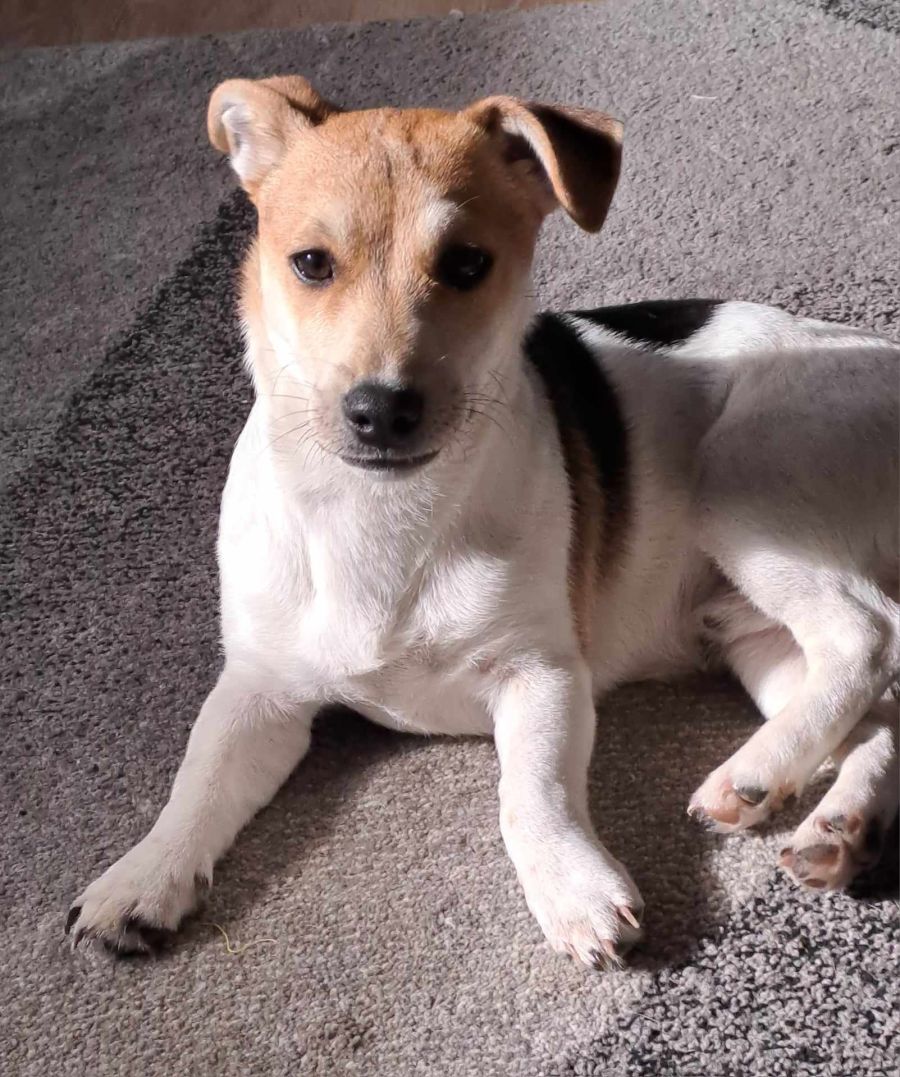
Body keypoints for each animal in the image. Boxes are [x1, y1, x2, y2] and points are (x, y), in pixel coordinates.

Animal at [66, 76, 899, 968]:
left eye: (466, 264)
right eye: (311, 263)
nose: (380, 409)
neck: (382, 515)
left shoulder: (542, 673)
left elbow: (528, 792)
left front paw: (573, 889)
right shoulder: (259, 688)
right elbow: (199, 776)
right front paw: (142, 875)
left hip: (742, 483)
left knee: (867, 634)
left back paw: (758, 771)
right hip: (755, 637)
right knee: (878, 711)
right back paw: (831, 820)